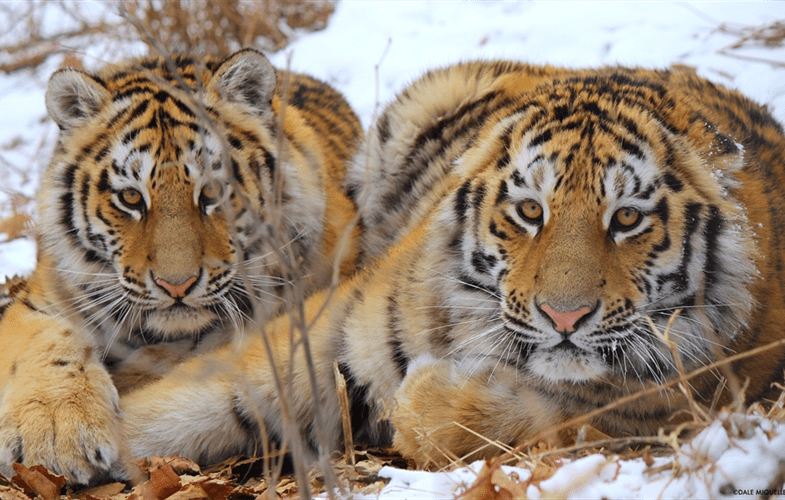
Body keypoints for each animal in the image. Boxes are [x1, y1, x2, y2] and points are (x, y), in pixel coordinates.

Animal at [0, 48, 364, 482]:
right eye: (131, 198)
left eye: (212, 191)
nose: (177, 285)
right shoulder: (43, 298)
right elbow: (46, 342)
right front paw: (56, 434)